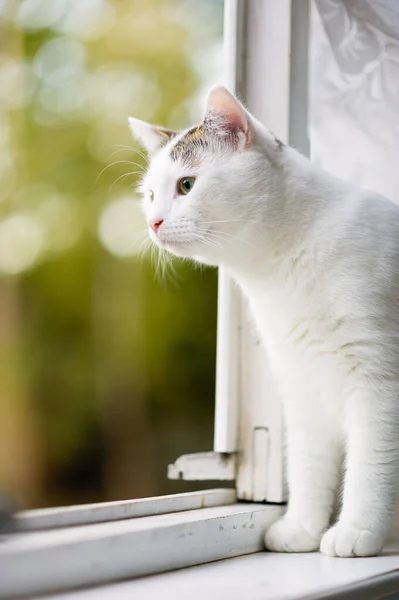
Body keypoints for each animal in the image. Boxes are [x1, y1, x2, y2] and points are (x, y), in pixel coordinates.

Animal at [129, 85, 399, 556]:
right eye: (149, 196)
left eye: (186, 185)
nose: (153, 222)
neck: (281, 270)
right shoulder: (300, 381)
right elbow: (308, 465)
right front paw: (302, 529)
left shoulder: (378, 381)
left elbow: (371, 463)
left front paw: (357, 531)